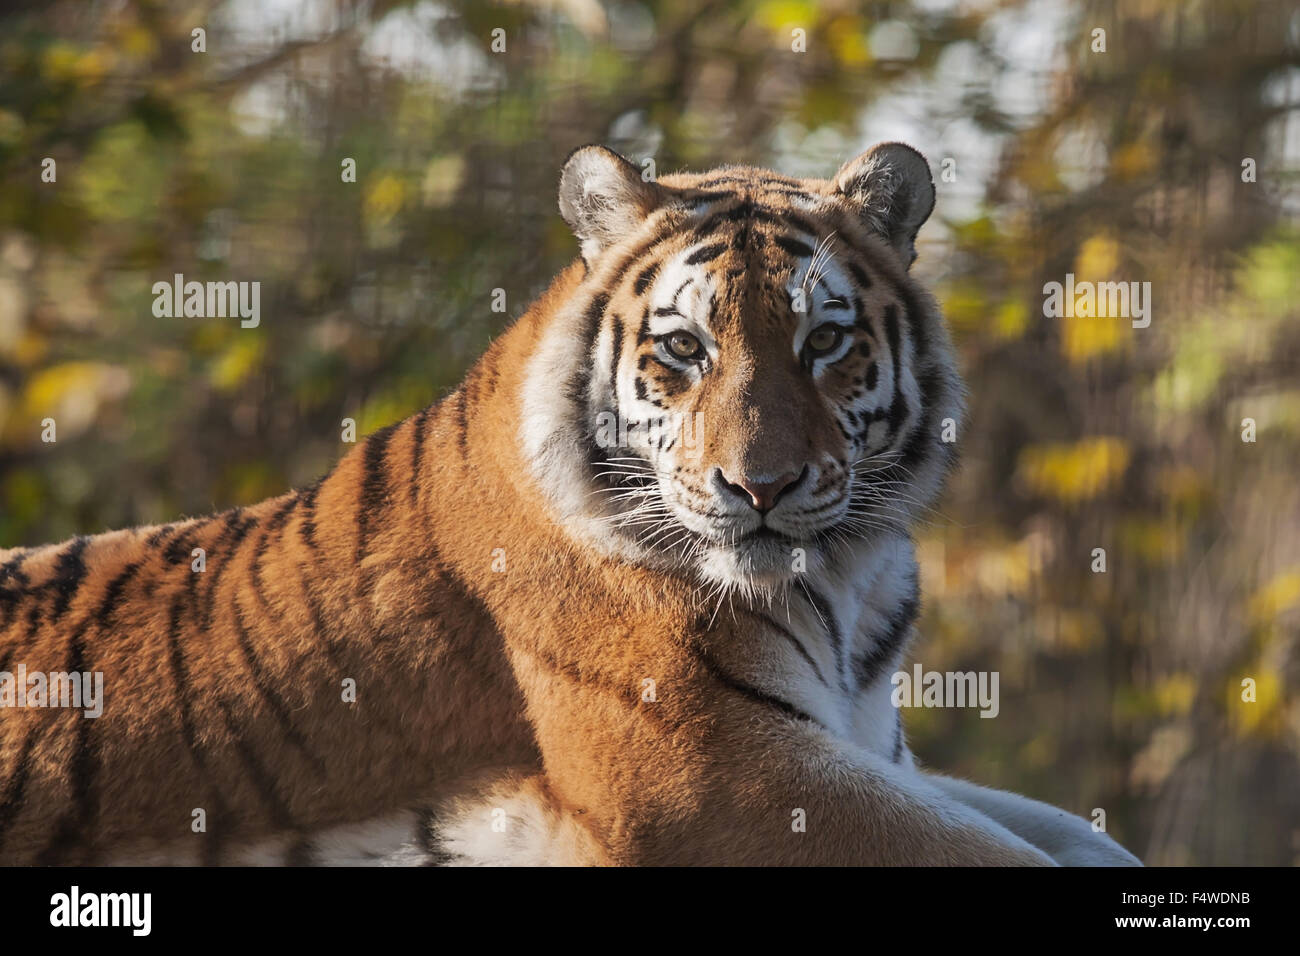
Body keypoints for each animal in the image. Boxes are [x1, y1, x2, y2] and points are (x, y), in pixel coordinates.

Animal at [0, 141, 1138, 868]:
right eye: (684, 346)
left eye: (825, 340)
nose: (760, 486)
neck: (848, 577)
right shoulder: (715, 775)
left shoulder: (864, 748)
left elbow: (1078, 834)